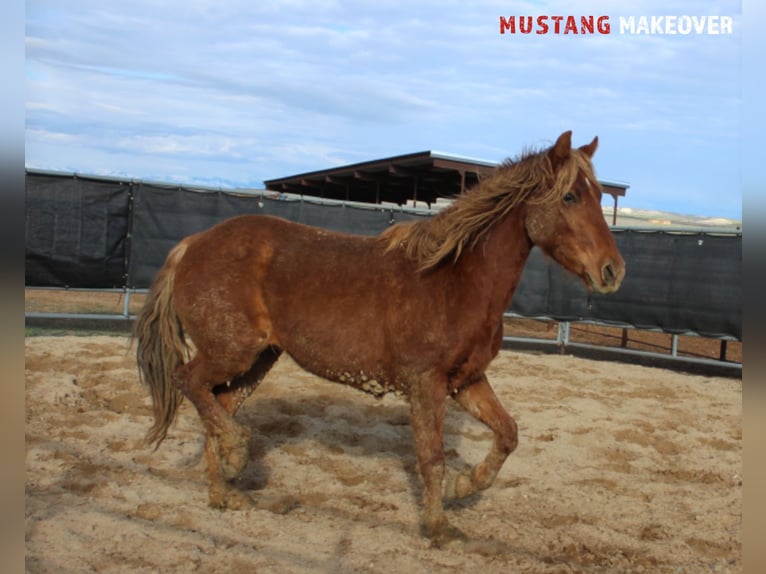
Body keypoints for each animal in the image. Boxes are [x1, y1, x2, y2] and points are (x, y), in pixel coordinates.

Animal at [135, 130, 628, 548]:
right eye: (570, 196)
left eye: (599, 196)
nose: (612, 271)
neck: (454, 279)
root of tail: (192, 244)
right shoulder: (426, 383)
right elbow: (431, 456)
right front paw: (439, 527)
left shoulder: (467, 381)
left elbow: (508, 433)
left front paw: (462, 488)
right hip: (231, 351)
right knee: (188, 381)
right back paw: (237, 454)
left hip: (256, 361)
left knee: (215, 405)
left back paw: (226, 492)